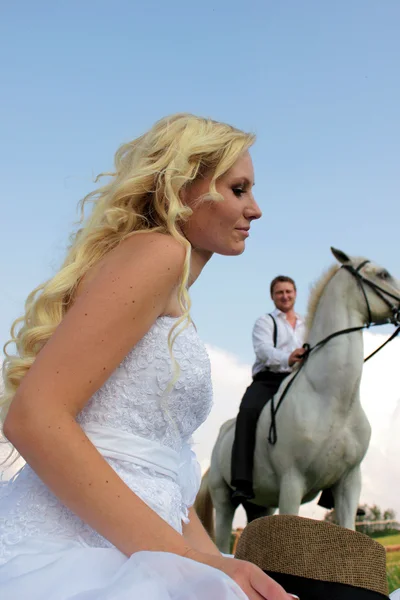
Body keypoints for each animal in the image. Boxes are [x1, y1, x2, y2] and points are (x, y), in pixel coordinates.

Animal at [195, 246, 400, 552]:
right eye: (383, 274)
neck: (331, 399)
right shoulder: (292, 483)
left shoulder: (349, 483)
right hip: (225, 502)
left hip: (260, 505)